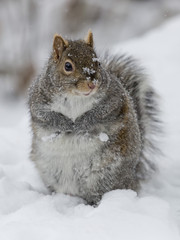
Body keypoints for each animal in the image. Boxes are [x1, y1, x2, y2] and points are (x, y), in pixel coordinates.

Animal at [27, 31, 159, 205]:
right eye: (67, 66)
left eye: (98, 63)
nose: (93, 84)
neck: (75, 97)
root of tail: (133, 176)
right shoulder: (38, 102)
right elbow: (47, 117)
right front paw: (65, 123)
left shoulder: (113, 100)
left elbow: (98, 114)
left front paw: (81, 123)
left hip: (104, 176)